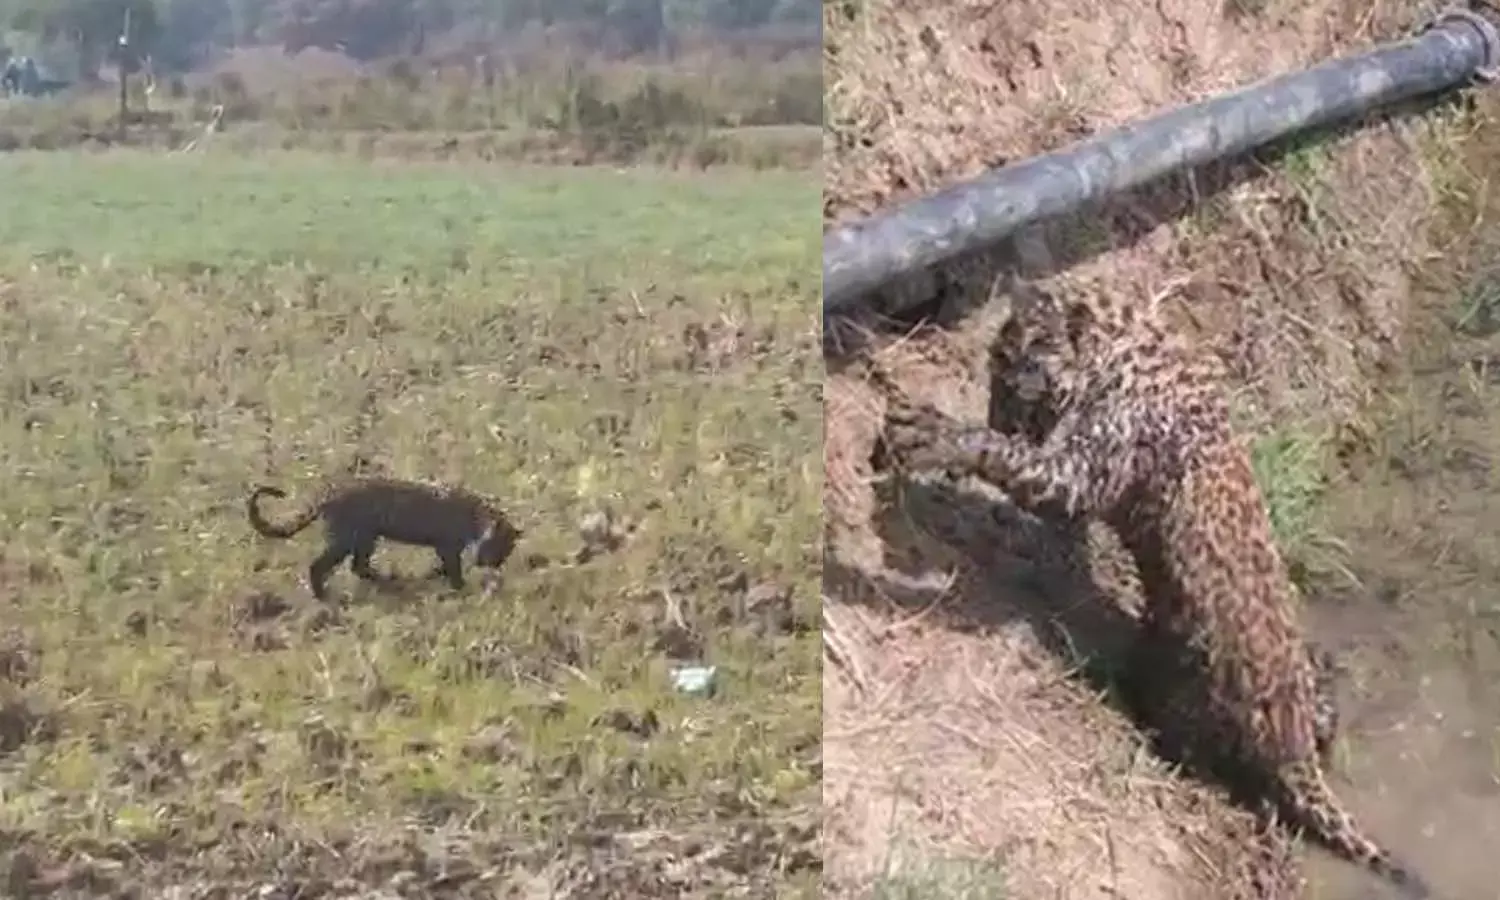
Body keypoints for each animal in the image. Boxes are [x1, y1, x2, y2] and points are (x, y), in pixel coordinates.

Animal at [247, 475, 523, 601]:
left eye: (506, 552)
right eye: (498, 547)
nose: (492, 564)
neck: (477, 519)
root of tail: (329, 490)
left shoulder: (444, 548)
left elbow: (445, 567)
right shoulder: (447, 547)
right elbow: (453, 568)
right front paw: (460, 587)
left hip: (365, 538)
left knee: (358, 566)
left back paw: (389, 580)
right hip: (348, 539)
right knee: (321, 565)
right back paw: (324, 596)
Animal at [874, 281, 1429, 899]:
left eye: (1008, 374)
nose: (996, 408)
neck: (1127, 351)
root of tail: (1294, 747)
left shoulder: (1076, 474)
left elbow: (1005, 456)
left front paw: (935, 436)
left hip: (1185, 691)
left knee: (1200, 754)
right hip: (1305, 697)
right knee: (1323, 724)